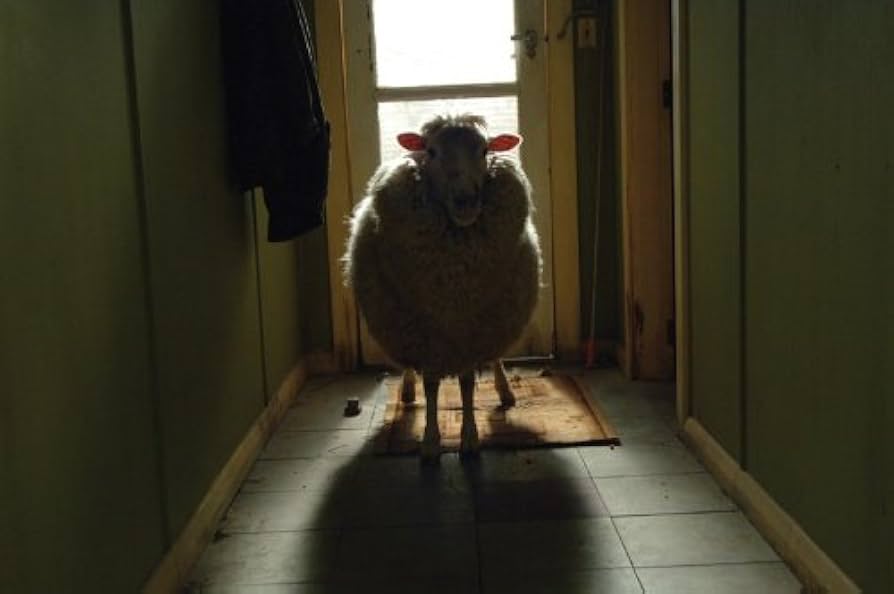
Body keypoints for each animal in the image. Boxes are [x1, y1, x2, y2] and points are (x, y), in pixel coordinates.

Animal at [342, 114, 542, 461]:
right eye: (431, 151)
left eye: (485, 150)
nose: (466, 201)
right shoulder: (428, 333)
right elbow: (433, 386)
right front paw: (431, 441)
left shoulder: (470, 329)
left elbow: (466, 383)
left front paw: (470, 438)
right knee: (412, 371)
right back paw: (408, 390)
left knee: (495, 358)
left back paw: (504, 391)